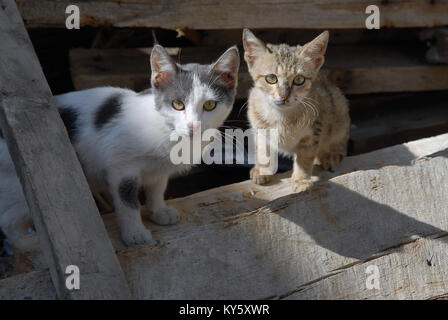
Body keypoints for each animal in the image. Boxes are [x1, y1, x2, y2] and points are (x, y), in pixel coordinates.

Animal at [0, 43, 240, 246]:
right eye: (177, 104)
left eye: (209, 105)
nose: (193, 126)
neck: (167, 133)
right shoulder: (120, 166)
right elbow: (127, 201)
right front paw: (135, 234)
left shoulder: (159, 169)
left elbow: (157, 187)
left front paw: (159, 211)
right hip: (16, 191)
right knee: (8, 222)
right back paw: (29, 244)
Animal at [243, 28, 348, 191]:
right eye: (271, 78)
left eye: (299, 80)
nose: (284, 96)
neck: (282, 117)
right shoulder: (260, 129)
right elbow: (263, 151)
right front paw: (262, 170)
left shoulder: (313, 133)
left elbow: (304, 159)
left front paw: (301, 180)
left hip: (339, 108)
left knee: (340, 139)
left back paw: (331, 155)